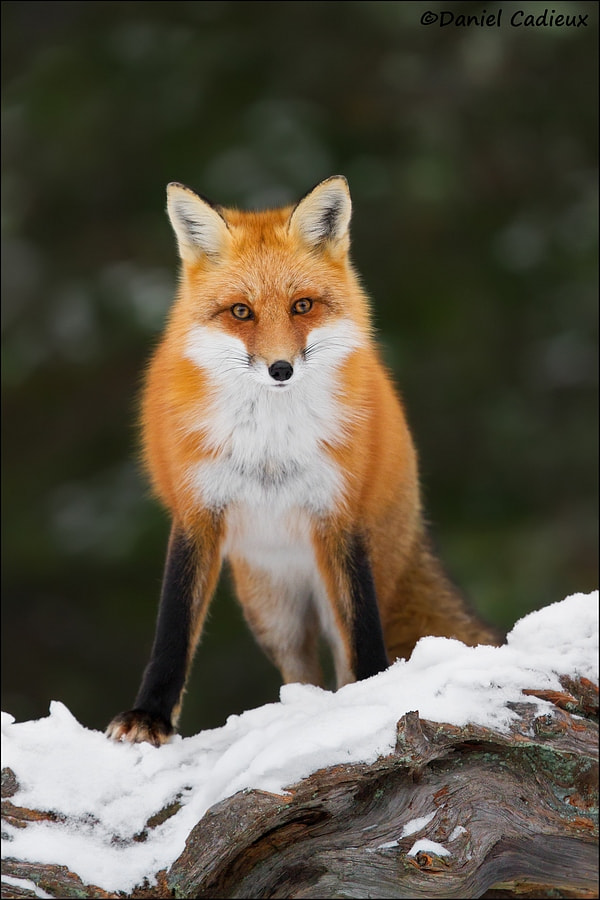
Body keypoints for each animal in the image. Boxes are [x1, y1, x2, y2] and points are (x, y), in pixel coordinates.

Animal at [106, 175, 499, 747]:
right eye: (241, 312)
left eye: (303, 305)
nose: (280, 369)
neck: (271, 446)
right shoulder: (197, 511)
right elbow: (173, 628)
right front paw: (149, 716)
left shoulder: (339, 512)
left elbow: (364, 631)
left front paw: (378, 691)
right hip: (274, 613)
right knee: (302, 675)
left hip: (337, 584)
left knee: (342, 654)